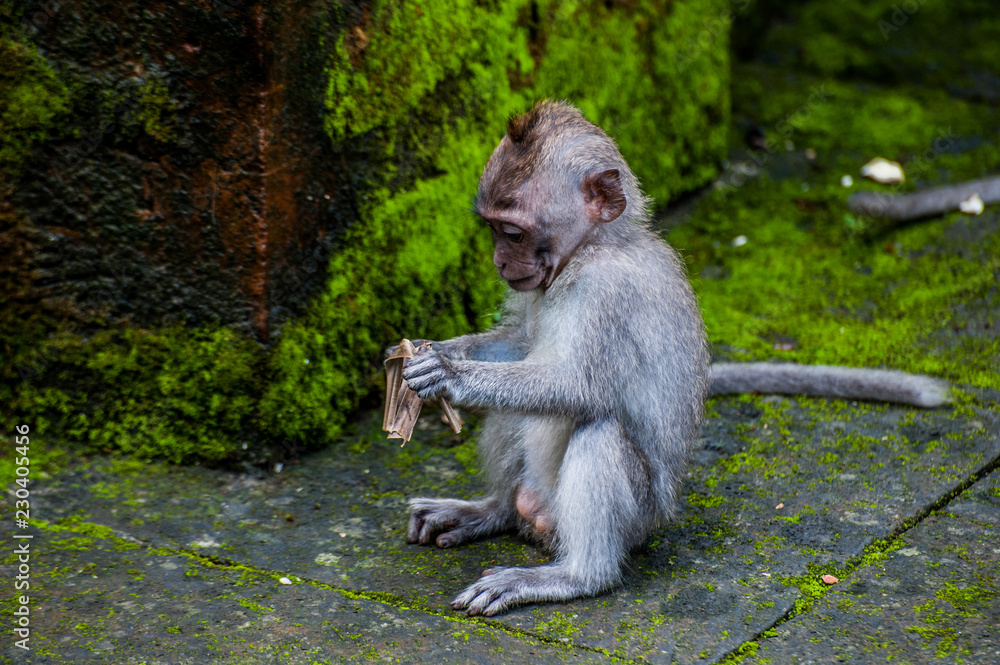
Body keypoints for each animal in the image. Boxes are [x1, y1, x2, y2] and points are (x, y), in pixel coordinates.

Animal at [396, 100, 950, 617]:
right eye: (491, 228)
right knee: (516, 413)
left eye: (511, 232)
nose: (499, 262)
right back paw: (492, 511)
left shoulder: (610, 293)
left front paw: (451, 375)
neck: (592, 249)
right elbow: (522, 343)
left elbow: (577, 387)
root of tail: (539, 516)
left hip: (637, 519)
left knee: (598, 427)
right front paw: (435, 352)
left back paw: (575, 576)